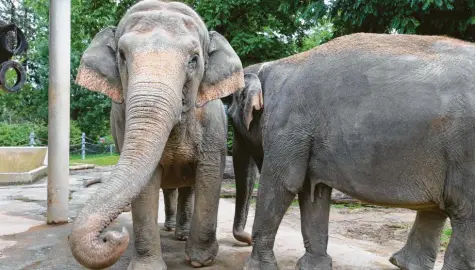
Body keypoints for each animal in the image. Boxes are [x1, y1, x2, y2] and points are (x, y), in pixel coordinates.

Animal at [229, 33, 474, 270]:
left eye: (231, 115)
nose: (245, 239)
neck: (272, 66)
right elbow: (313, 191)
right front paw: (313, 267)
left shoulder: (288, 122)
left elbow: (282, 183)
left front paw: (256, 267)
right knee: (440, 208)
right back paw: (403, 264)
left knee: (464, 213)